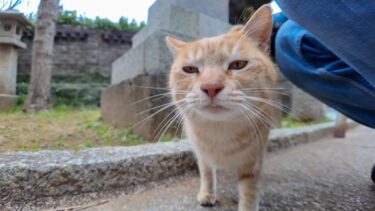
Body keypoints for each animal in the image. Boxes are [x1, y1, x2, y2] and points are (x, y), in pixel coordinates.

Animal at [167, 4, 276, 211]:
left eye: (238, 64)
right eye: (190, 69)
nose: (211, 87)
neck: (219, 133)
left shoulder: (253, 161)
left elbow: (250, 191)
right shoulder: (202, 155)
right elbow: (207, 172)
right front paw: (208, 194)